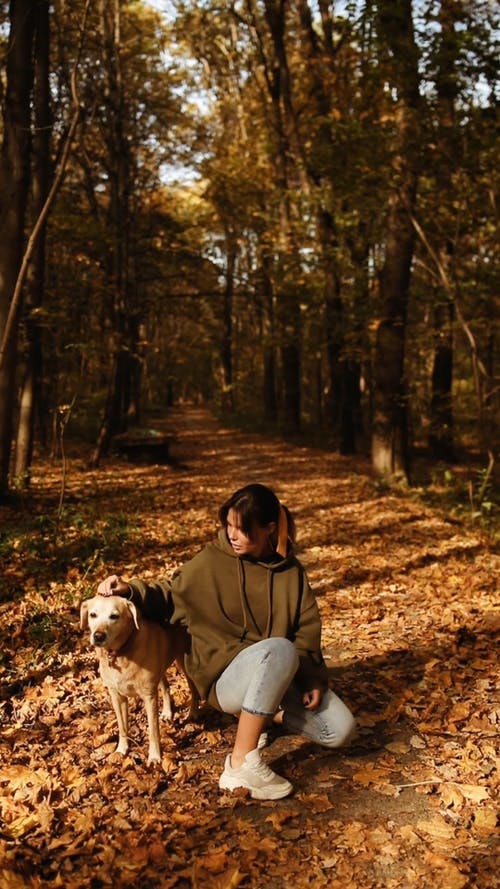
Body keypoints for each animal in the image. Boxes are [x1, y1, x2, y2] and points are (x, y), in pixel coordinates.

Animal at [79, 592, 198, 760]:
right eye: (93, 615)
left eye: (114, 616)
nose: (98, 636)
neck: (120, 653)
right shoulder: (116, 697)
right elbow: (122, 727)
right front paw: (122, 749)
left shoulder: (149, 697)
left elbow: (153, 730)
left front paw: (154, 756)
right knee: (166, 686)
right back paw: (167, 712)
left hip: (183, 662)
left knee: (193, 687)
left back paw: (193, 712)